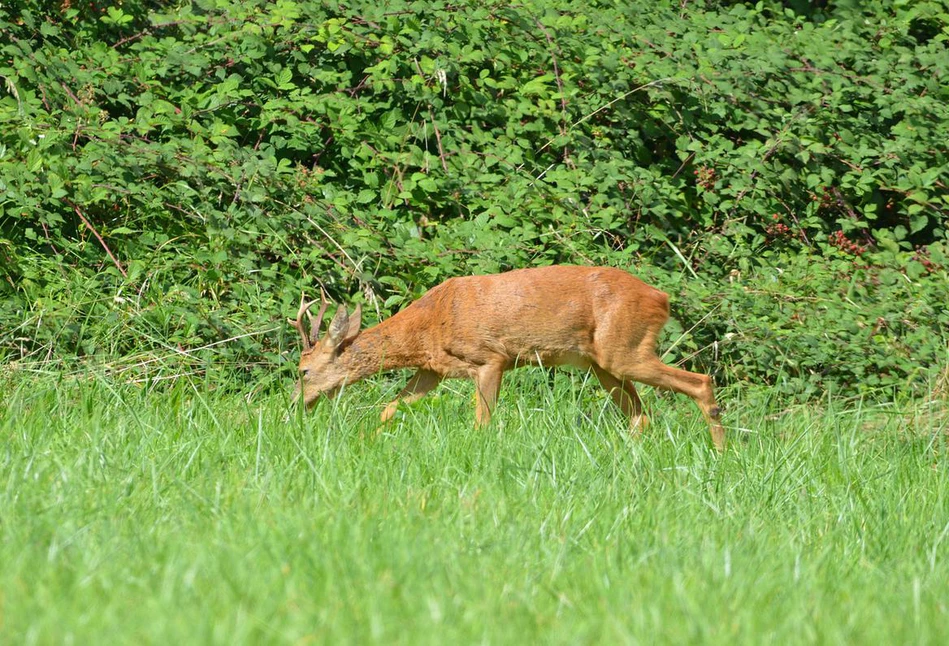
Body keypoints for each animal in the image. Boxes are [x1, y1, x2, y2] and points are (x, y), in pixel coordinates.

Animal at [288, 266, 724, 454]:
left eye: (304, 370)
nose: (293, 404)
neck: (428, 325)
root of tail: (661, 298)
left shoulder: (490, 359)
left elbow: (482, 422)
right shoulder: (432, 370)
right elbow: (390, 407)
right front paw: (367, 440)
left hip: (625, 350)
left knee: (700, 381)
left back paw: (721, 453)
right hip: (604, 364)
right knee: (640, 417)